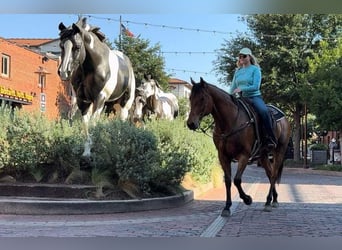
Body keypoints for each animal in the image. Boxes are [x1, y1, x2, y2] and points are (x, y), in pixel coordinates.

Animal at [58, 18, 136, 160]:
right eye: (61, 46)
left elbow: (93, 123)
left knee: (122, 120)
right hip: (111, 105)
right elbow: (86, 123)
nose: (63, 72)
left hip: (125, 103)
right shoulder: (82, 101)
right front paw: (87, 152)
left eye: (77, 47)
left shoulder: (100, 98)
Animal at [187, 77, 292, 216]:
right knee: (270, 174)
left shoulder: (244, 155)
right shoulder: (223, 156)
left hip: (279, 151)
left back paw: (269, 201)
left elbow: (237, 179)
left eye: (202, 98)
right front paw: (227, 207)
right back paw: (272, 200)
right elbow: (227, 180)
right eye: (190, 97)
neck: (230, 122)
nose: (191, 123)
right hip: (263, 155)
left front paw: (247, 199)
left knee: (274, 174)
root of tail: (284, 118)